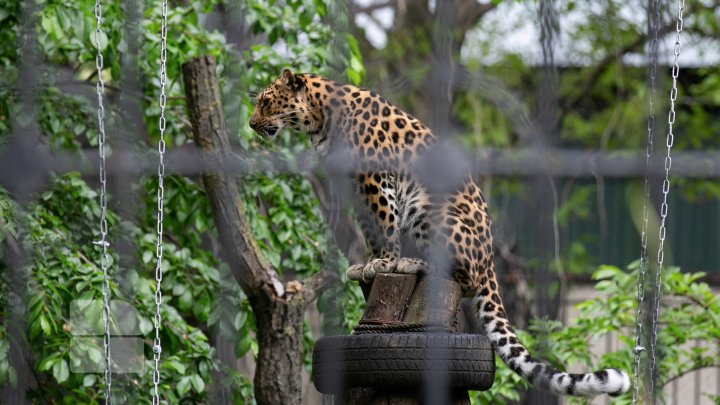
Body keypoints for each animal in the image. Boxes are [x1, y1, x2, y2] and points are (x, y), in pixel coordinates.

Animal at [249, 68, 632, 396]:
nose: (252, 124)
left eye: (266, 101)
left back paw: (415, 264)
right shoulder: (354, 190)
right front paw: (367, 264)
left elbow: (385, 225)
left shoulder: (376, 181)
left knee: (466, 278)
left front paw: (385, 262)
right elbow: (372, 231)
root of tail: (490, 259)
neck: (320, 119)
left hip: (430, 208)